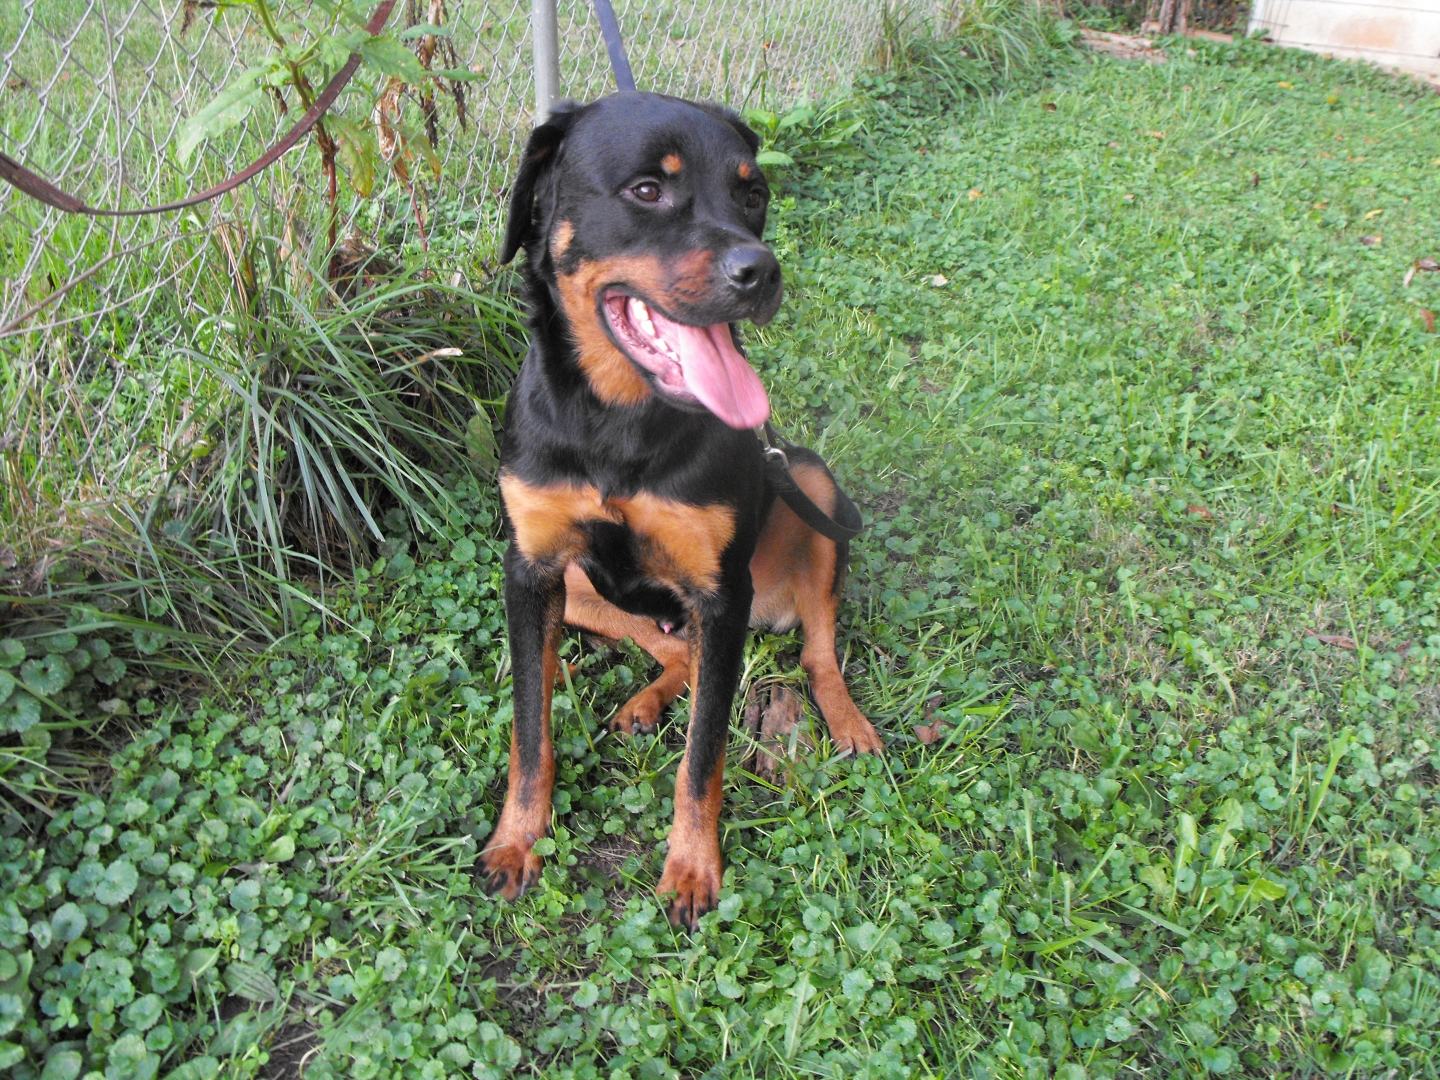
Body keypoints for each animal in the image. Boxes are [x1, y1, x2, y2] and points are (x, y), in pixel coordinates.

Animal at [486, 92, 875, 933]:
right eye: (646, 191)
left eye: (753, 193)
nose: (761, 272)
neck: (617, 420)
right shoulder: (529, 570)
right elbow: (530, 732)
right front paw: (517, 841)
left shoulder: (720, 593)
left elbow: (703, 757)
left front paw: (693, 869)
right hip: (585, 588)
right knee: (675, 652)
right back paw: (633, 697)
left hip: (811, 483)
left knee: (815, 652)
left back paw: (848, 722)